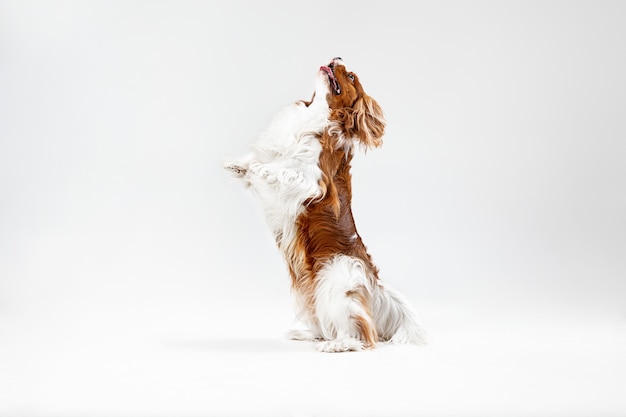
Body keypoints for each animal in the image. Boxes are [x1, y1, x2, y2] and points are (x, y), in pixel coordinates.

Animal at [224, 57, 424, 352]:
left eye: (350, 76)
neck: (314, 116)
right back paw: (309, 334)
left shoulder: (313, 181)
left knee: (363, 334)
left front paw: (261, 168)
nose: (336, 57)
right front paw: (236, 165)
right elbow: (259, 159)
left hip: (336, 283)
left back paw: (338, 345)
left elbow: (281, 170)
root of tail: (373, 283)